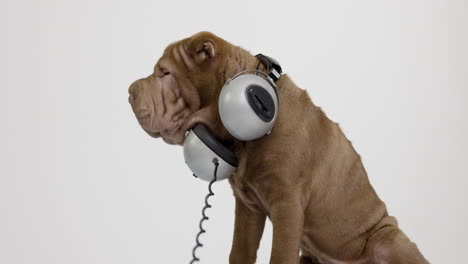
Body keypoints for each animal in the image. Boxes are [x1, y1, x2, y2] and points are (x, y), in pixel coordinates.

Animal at [127, 31, 428, 264]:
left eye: (165, 73)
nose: (130, 91)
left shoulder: (288, 205)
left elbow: (280, 256)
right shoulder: (248, 206)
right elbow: (240, 253)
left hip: (387, 239)